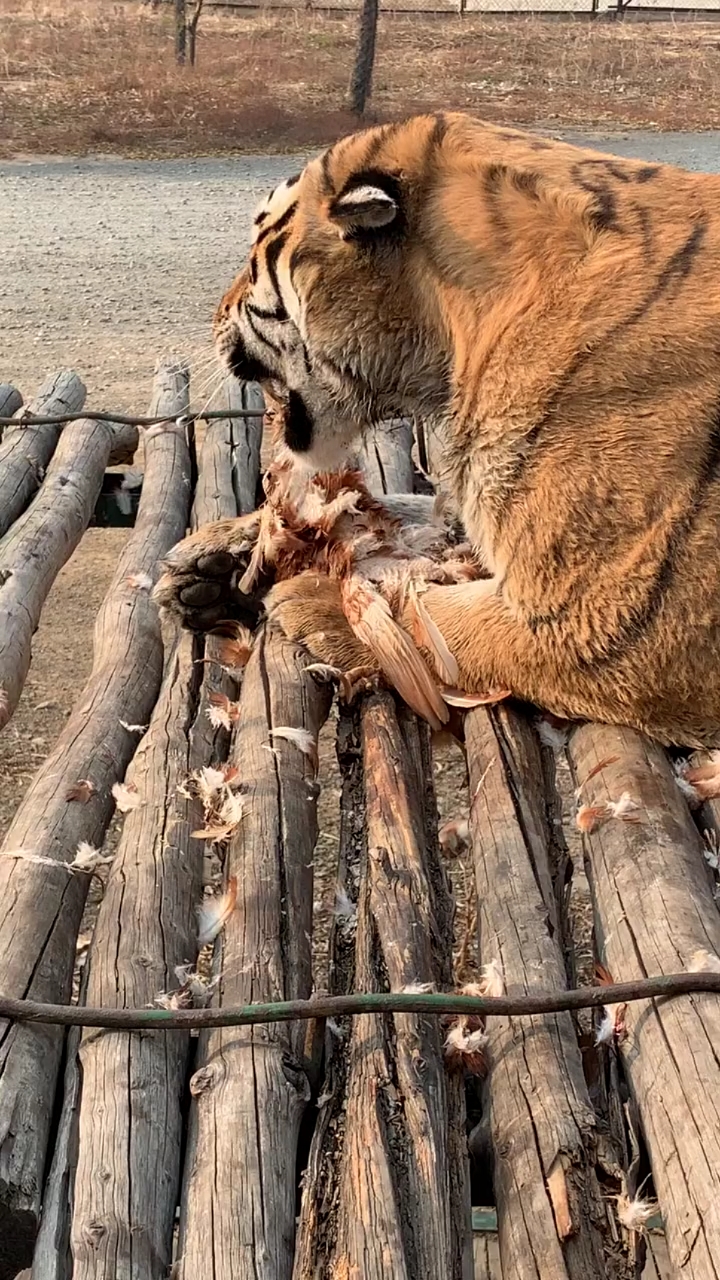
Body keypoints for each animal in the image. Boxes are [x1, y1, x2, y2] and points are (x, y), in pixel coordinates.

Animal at [152, 112, 720, 757]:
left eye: (253, 261)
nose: (214, 314)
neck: (458, 333)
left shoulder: (612, 624)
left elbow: (438, 620)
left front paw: (317, 599)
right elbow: (398, 514)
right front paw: (219, 557)